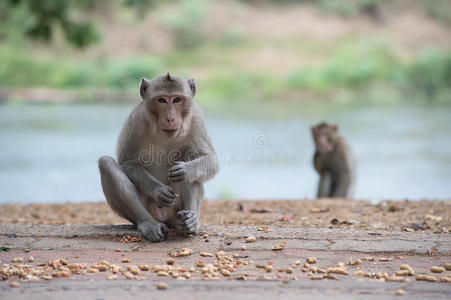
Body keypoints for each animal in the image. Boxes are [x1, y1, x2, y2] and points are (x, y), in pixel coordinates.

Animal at [98, 72, 219, 241]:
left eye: (177, 99)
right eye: (161, 100)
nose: (170, 118)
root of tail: (166, 219)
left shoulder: (196, 118)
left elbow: (210, 159)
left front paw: (186, 170)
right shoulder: (136, 120)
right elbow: (129, 162)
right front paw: (158, 191)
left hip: (176, 210)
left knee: (191, 158)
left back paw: (189, 223)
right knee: (106, 163)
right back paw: (148, 223)